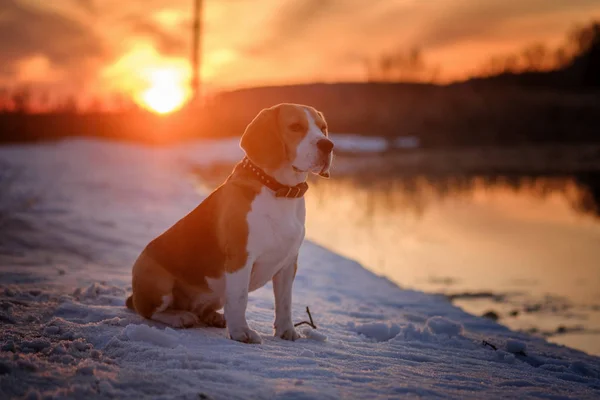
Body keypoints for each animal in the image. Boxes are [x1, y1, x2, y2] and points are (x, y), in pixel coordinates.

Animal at [126, 103, 332, 344]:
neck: (279, 191)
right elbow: (240, 299)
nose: (328, 145)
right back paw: (179, 317)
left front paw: (286, 330)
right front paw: (241, 332)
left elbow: (285, 302)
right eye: (296, 127)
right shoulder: (240, 257)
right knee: (148, 311)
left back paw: (213, 317)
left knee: (201, 310)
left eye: (323, 128)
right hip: (157, 280)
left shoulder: (288, 263)